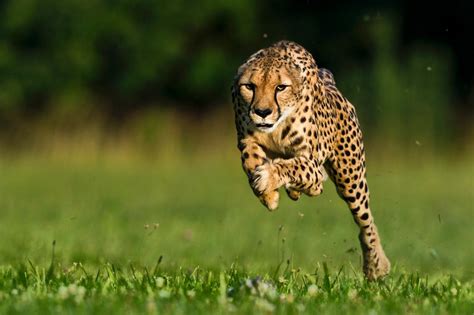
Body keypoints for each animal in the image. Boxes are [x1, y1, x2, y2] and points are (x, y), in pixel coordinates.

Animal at [231, 40, 390, 282]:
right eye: (249, 86)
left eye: (281, 87)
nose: (262, 112)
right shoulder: (246, 139)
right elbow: (250, 159)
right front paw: (268, 195)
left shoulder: (311, 162)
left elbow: (294, 166)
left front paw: (268, 178)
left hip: (350, 179)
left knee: (365, 221)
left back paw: (376, 265)